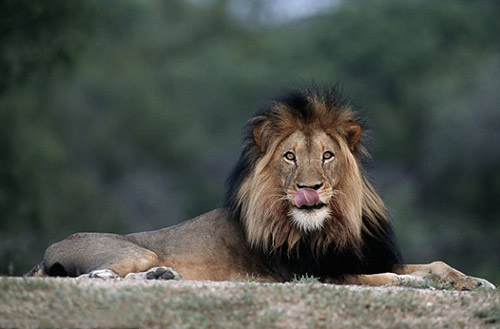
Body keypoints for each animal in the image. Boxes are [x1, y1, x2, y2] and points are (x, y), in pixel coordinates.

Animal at [29, 88, 494, 290]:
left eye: (327, 155)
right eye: (289, 157)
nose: (310, 188)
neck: (331, 224)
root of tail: (47, 250)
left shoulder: (359, 257)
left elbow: (434, 265)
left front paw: (477, 282)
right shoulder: (319, 274)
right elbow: (390, 279)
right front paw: (417, 282)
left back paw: (164, 275)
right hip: (132, 251)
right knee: (93, 275)